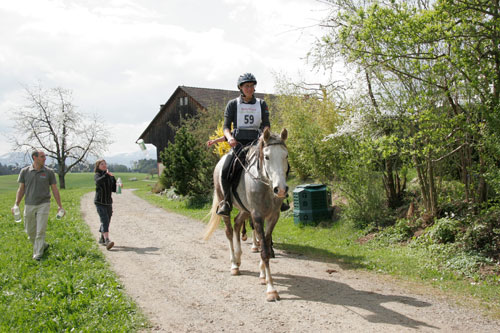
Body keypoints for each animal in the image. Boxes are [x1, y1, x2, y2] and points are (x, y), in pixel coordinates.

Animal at [203, 127, 290, 300]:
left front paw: (263, 275)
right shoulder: (257, 216)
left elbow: (266, 245)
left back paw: (238, 258)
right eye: (267, 156)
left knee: (237, 223)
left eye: (286, 156)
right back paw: (233, 264)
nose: (281, 190)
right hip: (225, 204)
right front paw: (271, 289)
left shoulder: (273, 217)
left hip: (244, 209)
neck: (265, 184)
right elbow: (264, 250)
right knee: (229, 231)